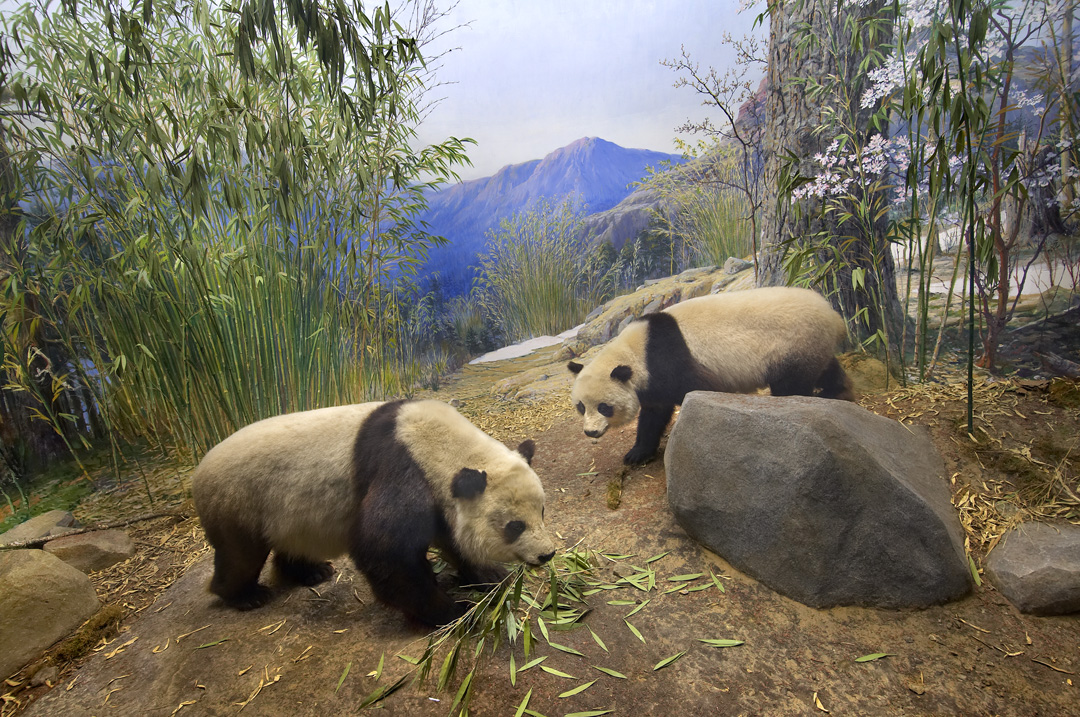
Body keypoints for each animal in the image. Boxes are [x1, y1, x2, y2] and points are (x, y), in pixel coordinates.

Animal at [192, 397, 557, 626]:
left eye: (542, 512)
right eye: (515, 526)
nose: (547, 554)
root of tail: (198, 471)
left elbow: (452, 539)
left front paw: (490, 577)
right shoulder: (401, 464)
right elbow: (385, 548)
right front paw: (453, 610)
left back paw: (311, 573)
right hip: (237, 499)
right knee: (240, 553)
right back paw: (245, 596)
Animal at [570, 285, 855, 464]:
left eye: (604, 406)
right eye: (581, 407)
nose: (590, 433)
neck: (635, 351)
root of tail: (834, 316)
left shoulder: (669, 361)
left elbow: (697, 390)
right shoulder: (651, 382)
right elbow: (653, 414)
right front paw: (637, 454)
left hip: (792, 342)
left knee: (792, 385)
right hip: (810, 343)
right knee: (825, 368)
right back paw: (838, 392)